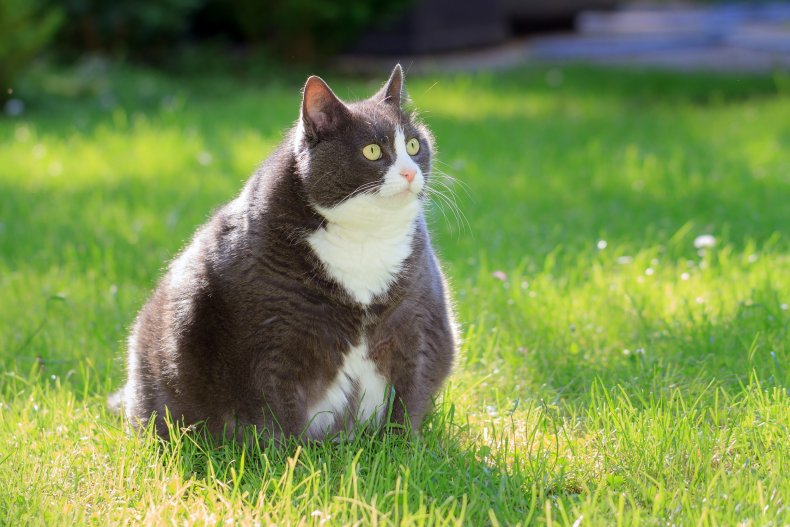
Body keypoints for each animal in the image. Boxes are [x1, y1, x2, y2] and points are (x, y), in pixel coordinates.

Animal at [111, 66, 458, 444]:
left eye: (413, 144)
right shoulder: (270, 337)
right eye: (371, 151)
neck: (364, 238)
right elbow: (276, 408)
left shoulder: (417, 319)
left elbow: (411, 392)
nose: (410, 172)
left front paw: (404, 446)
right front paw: (292, 458)